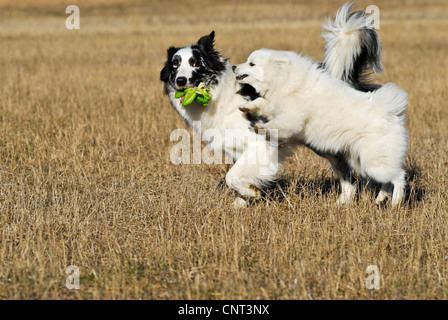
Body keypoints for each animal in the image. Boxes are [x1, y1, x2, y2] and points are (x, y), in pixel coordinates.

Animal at [161, 2, 384, 206]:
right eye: (174, 64)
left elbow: (231, 177)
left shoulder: (261, 143)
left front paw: (251, 194)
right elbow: (238, 176)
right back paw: (343, 203)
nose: (180, 80)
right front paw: (241, 203)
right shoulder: (236, 147)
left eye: (196, 63)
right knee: (349, 178)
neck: (217, 96)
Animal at [234, 48, 410, 206]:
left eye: (251, 63)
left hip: (375, 161)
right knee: (387, 181)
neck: (286, 79)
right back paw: (380, 199)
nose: (234, 66)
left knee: (399, 177)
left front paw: (262, 127)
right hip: (362, 162)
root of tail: (390, 112)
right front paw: (246, 106)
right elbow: (260, 102)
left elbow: (278, 124)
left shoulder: (293, 117)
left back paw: (396, 202)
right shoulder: (275, 105)